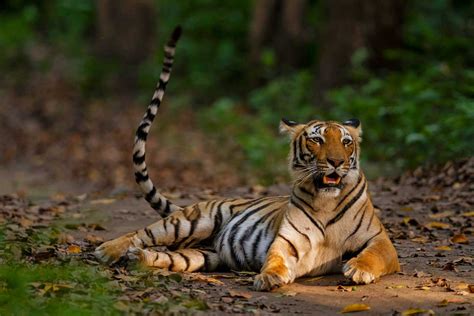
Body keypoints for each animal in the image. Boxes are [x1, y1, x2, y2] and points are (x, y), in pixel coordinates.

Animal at [95, 26, 400, 292]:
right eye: (317, 140)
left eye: (346, 142)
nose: (337, 161)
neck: (327, 200)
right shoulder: (288, 240)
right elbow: (276, 257)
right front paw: (269, 277)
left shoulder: (379, 239)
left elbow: (376, 255)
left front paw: (359, 269)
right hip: (190, 221)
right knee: (143, 233)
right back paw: (108, 250)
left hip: (203, 254)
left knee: (170, 255)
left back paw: (137, 258)